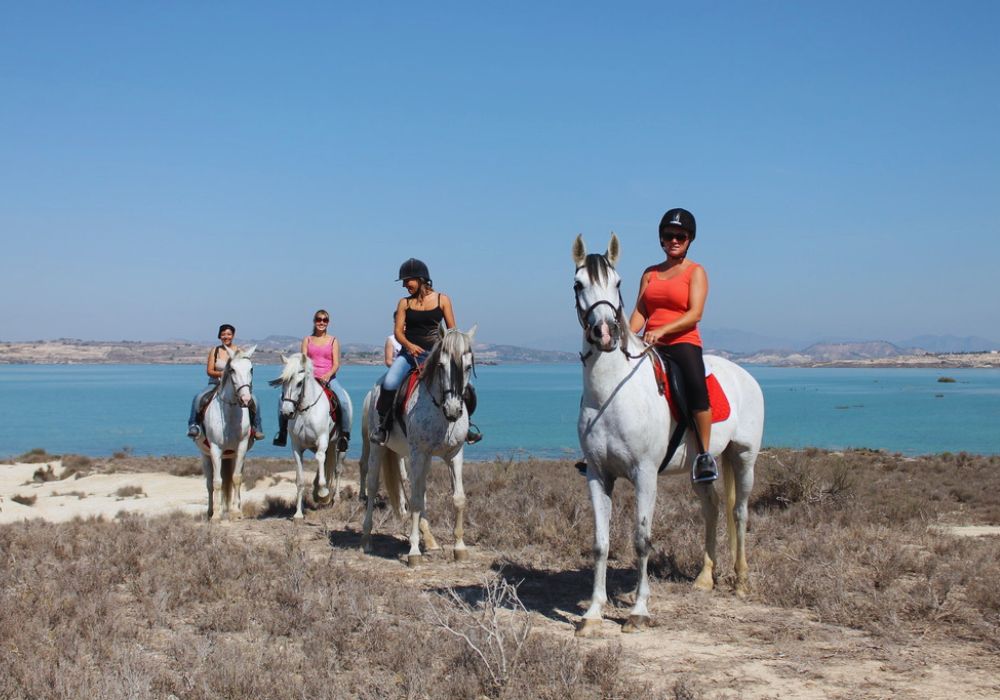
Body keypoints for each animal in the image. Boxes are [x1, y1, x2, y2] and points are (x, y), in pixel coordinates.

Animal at [195, 345, 258, 521]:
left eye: (251, 369)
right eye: (232, 370)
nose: (246, 399)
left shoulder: (241, 448)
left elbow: (236, 478)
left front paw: (236, 512)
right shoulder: (215, 449)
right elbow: (217, 482)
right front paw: (216, 515)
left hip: (232, 455)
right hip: (206, 455)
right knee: (210, 483)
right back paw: (211, 511)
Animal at [269, 353, 346, 520]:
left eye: (299, 383)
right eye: (283, 383)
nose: (287, 412)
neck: (306, 410)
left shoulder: (322, 440)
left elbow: (320, 460)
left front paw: (323, 493)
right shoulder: (297, 448)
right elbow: (300, 481)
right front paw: (298, 513)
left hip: (339, 446)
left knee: (337, 469)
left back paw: (335, 499)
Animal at [360, 322, 477, 566]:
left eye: (468, 366)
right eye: (441, 366)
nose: (453, 410)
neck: (440, 412)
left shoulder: (454, 454)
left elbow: (458, 498)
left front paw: (459, 548)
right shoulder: (417, 453)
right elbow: (414, 500)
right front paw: (413, 552)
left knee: (420, 489)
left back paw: (430, 540)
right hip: (379, 448)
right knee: (373, 485)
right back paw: (366, 539)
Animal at [572, 234, 764, 636]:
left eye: (618, 283)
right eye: (578, 284)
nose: (605, 334)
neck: (611, 393)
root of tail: (745, 375)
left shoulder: (645, 474)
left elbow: (642, 539)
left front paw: (638, 611)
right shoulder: (598, 474)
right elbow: (600, 542)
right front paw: (593, 613)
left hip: (743, 457)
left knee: (739, 512)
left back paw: (740, 582)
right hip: (702, 466)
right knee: (712, 508)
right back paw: (705, 579)